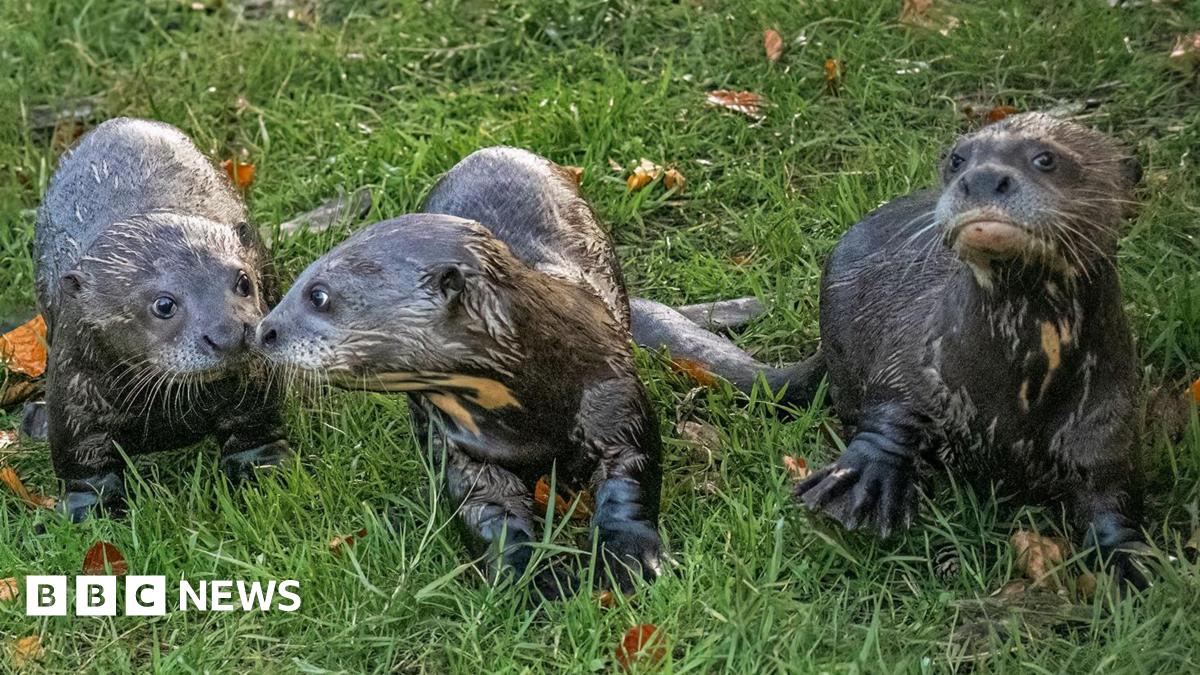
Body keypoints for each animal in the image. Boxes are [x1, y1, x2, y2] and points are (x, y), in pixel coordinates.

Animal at [35, 117, 289, 521]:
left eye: (243, 281)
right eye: (164, 304)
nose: (229, 334)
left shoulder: (254, 379)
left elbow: (254, 427)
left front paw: (260, 470)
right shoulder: (73, 393)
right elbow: (84, 467)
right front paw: (86, 512)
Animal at [256, 147, 663, 594]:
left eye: (318, 295)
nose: (263, 330)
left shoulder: (611, 390)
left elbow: (631, 470)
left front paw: (628, 555)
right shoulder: (460, 448)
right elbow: (487, 510)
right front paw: (528, 577)